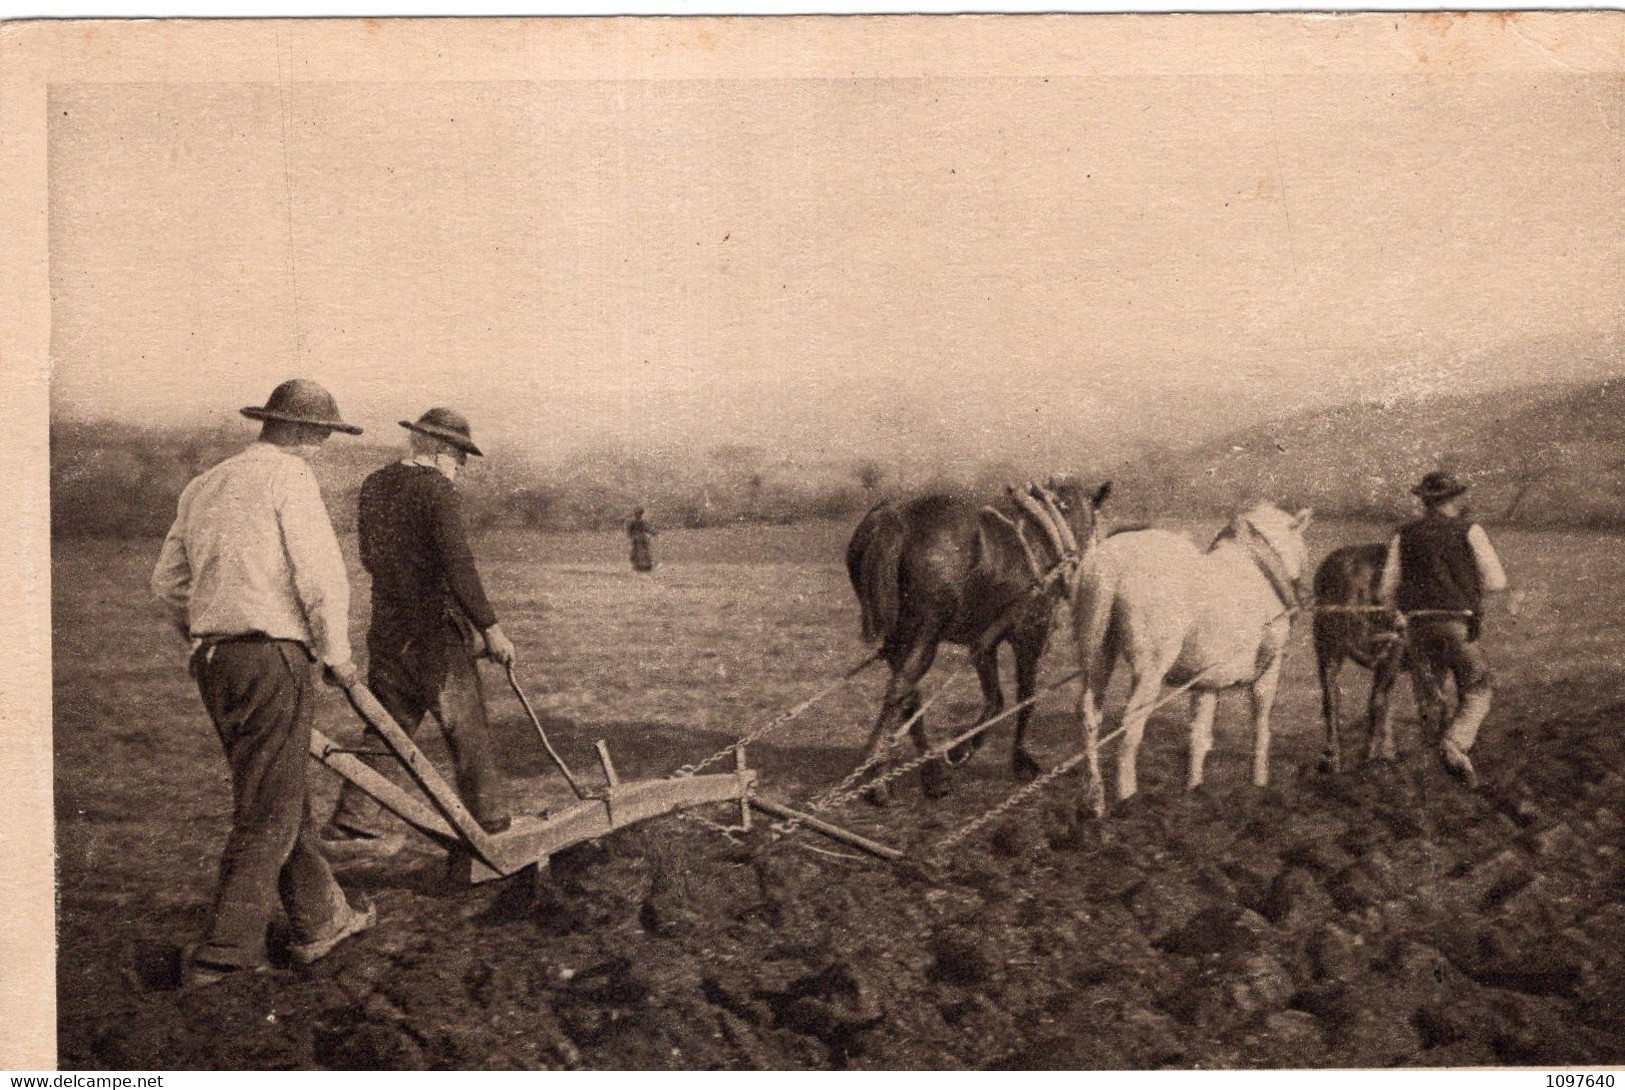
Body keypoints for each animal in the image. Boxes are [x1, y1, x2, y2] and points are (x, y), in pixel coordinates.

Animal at [845, 477, 1111, 802]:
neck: (1047, 533)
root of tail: (891, 520)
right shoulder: (1030, 634)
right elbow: (1026, 698)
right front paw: (1021, 762)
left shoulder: (984, 643)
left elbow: (995, 699)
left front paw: (963, 748)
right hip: (925, 634)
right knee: (900, 692)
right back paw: (879, 780)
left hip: (900, 639)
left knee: (908, 696)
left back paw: (933, 776)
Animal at [1072, 503, 1313, 818]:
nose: (1306, 590)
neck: (1258, 567)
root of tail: (1111, 565)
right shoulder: (1268, 671)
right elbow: (1261, 728)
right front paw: (1259, 784)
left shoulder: (1207, 681)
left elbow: (1199, 735)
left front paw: (1195, 790)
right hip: (1150, 669)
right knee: (1132, 722)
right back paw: (1128, 797)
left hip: (1098, 654)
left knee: (1090, 715)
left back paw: (1095, 799)